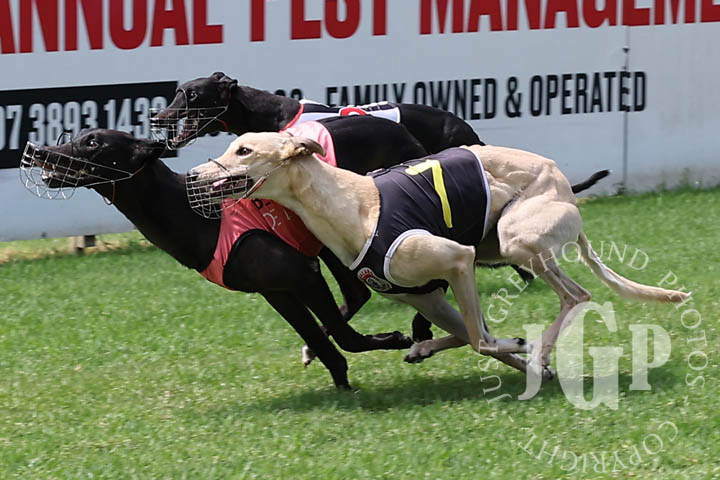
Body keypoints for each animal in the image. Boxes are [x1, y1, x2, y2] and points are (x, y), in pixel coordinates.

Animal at [186, 133, 689, 379]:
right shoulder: (424, 295)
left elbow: (482, 339)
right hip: (500, 246)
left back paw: (539, 349)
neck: (355, 205)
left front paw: (526, 351)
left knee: (577, 295)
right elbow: (471, 333)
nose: (191, 174)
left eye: (244, 149)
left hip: (515, 239)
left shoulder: (458, 260)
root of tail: (565, 184)